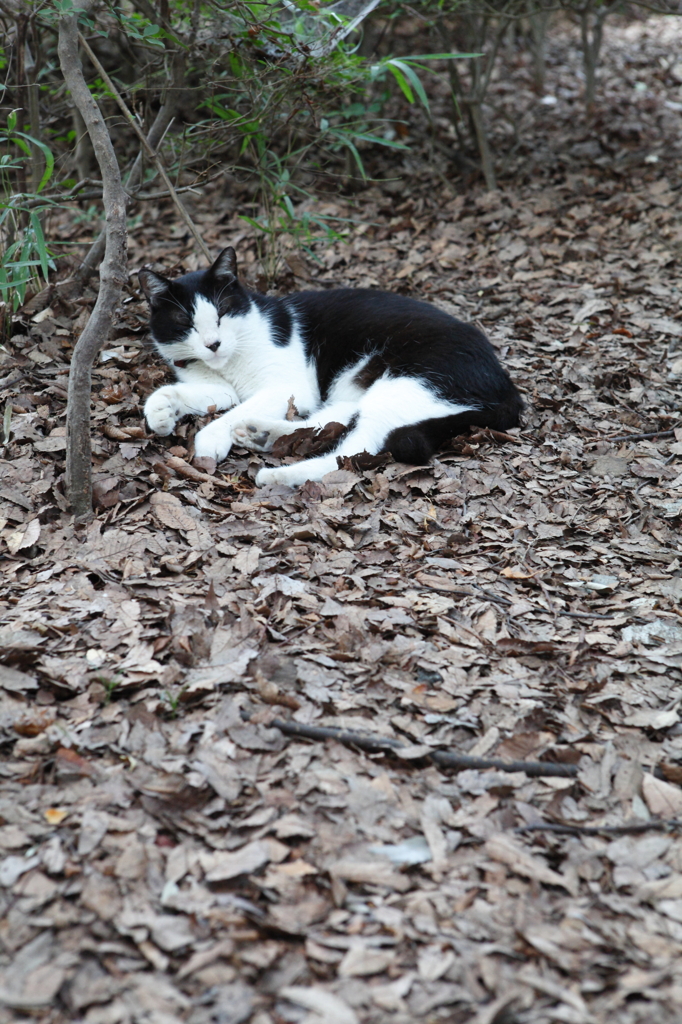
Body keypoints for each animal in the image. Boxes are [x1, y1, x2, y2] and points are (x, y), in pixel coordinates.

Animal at [137, 247, 520, 487]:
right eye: (185, 322)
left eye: (222, 312)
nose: (213, 344)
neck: (227, 363)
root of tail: (508, 387)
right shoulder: (219, 386)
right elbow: (202, 395)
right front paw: (160, 411)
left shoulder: (288, 386)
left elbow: (233, 410)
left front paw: (210, 438)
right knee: (333, 423)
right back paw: (263, 433)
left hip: (407, 382)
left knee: (353, 449)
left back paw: (278, 475)